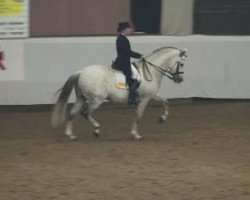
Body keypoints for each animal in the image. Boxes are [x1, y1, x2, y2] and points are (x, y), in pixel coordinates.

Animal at [51, 46, 188, 141]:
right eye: (181, 63)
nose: (180, 79)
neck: (151, 72)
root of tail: (81, 71)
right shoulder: (145, 99)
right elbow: (139, 115)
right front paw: (136, 135)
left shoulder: (152, 95)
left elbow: (166, 101)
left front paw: (162, 119)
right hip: (96, 100)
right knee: (85, 112)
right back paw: (96, 130)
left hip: (82, 98)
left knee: (71, 113)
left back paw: (71, 135)